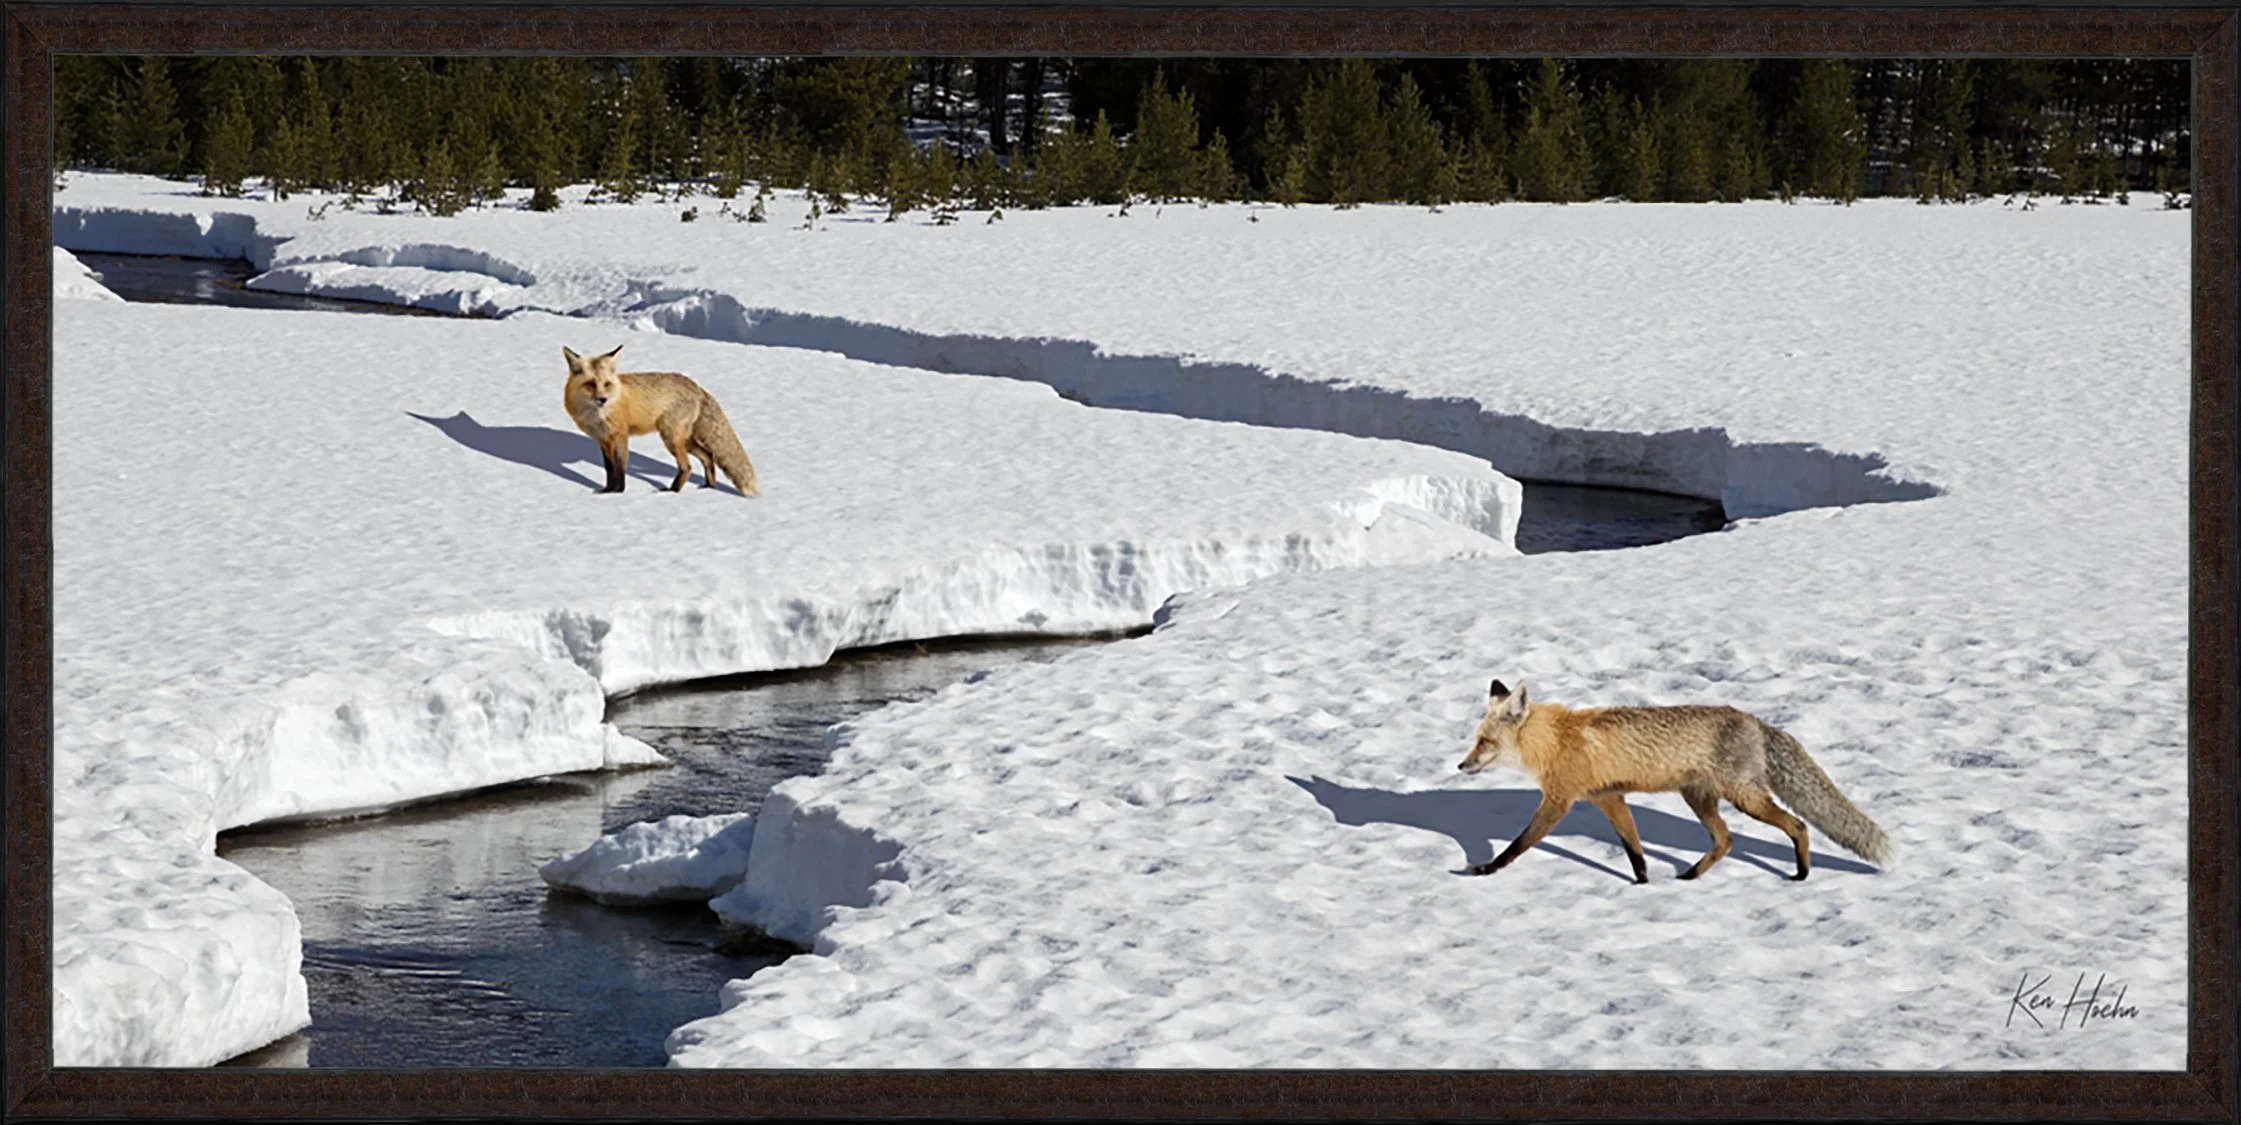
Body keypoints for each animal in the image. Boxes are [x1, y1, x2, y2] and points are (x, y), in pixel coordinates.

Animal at [562, 344, 761, 497]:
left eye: (607, 384)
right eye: (590, 384)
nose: (602, 399)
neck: (598, 415)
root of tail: (697, 387)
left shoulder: (620, 436)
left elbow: (619, 467)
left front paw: (617, 493)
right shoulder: (603, 440)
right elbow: (609, 469)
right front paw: (607, 490)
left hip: (670, 437)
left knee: (687, 467)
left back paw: (672, 492)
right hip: (685, 440)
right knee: (708, 456)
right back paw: (708, 487)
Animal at [1456, 679, 1891, 883]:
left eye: (1484, 742)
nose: (1461, 765)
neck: (1556, 742)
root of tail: (1755, 720)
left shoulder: (1558, 802)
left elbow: (1518, 844)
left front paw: (1487, 869)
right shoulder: (1609, 798)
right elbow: (1634, 849)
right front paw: (1642, 882)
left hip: (1743, 799)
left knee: (1798, 825)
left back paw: (1801, 873)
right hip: (1698, 799)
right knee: (1726, 841)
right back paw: (1692, 875)